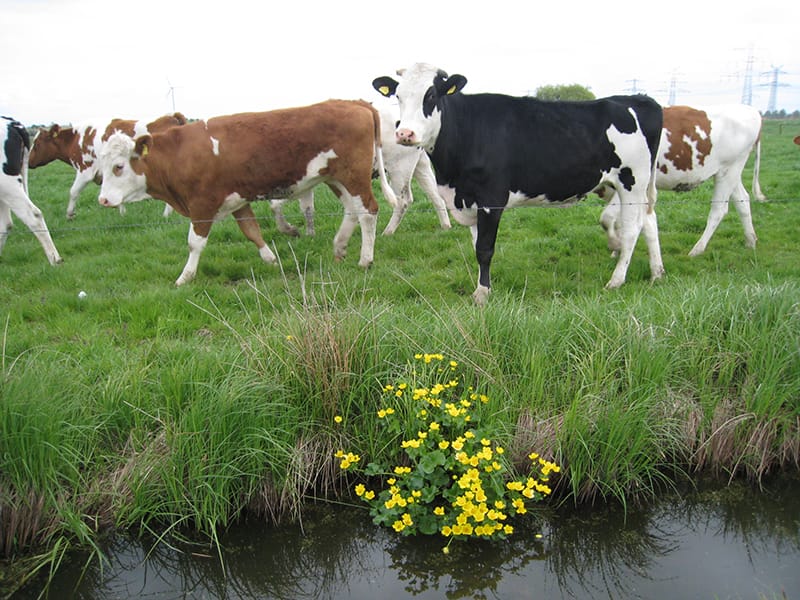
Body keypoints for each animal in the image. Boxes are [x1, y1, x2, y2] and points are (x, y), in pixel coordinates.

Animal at [29, 113, 187, 218]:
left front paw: (69, 214)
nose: (28, 162)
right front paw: (122, 213)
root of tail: (172, 117)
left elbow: (73, 191)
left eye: (36, 144)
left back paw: (166, 214)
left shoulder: (85, 171)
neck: (76, 139)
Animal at [97, 100, 398, 286]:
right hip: (336, 178)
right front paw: (270, 259)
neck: (179, 154)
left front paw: (185, 277)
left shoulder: (202, 204)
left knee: (368, 211)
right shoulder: (237, 200)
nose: (103, 199)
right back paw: (339, 247)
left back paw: (365, 259)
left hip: (354, 176)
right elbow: (251, 230)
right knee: (353, 210)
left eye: (119, 167)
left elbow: (195, 243)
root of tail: (355, 102)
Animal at [372, 63, 664, 304]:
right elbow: (476, 245)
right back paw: (656, 273)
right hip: (631, 184)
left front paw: (482, 294)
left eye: (431, 95)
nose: (404, 133)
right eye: (398, 96)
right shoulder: (469, 199)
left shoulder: (490, 199)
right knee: (649, 221)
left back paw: (616, 280)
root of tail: (637, 98)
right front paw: (483, 286)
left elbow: (484, 249)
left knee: (632, 229)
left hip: (632, 180)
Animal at [599, 104, 766, 256]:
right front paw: (618, 249)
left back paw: (697, 249)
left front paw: (616, 245)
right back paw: (750, 241)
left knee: (719, 209)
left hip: (730, 169)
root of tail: (752, 110)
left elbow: (607, 217)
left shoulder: (630, 182)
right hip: (728, 171)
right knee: (742, 200)